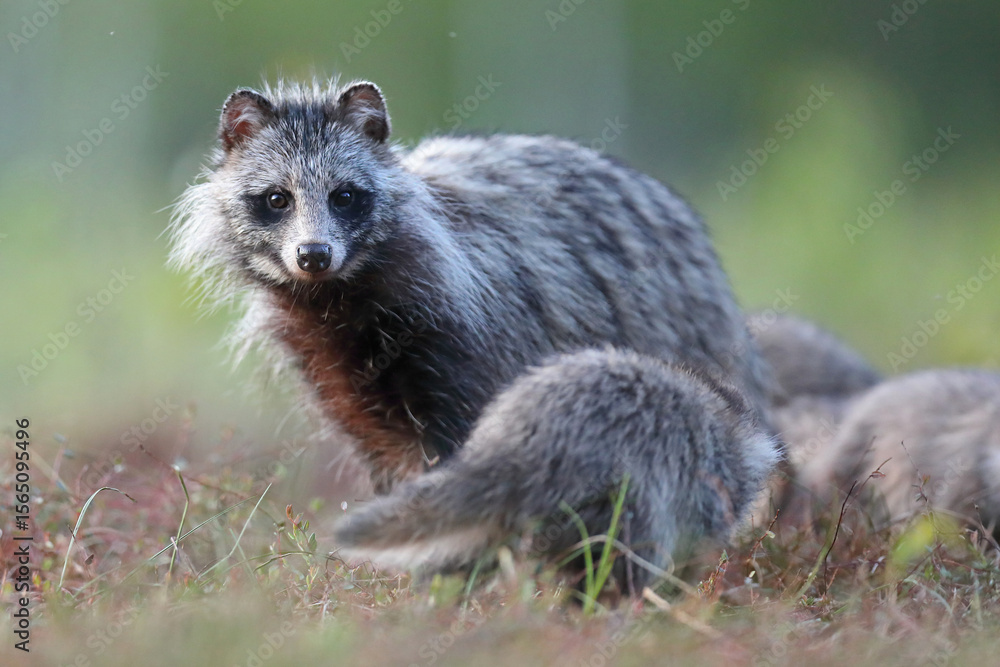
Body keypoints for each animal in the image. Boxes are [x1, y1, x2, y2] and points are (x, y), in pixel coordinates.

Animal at [170, 78, 778, 588]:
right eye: (278, 198)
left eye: (345, 195)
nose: (313, 254)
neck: (338, 300)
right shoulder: (331, 371)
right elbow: (384, 458)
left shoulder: (469, 334)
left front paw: (450, 571)